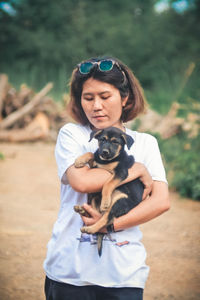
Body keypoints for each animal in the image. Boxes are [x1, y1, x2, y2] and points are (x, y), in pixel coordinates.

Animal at [74, 126, 144, 255]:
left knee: (106, 219)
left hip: (119, 201)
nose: (105, 152)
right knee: (96, 214)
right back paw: (82, 210)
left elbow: (107, 184)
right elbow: (92, 154)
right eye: (102, 139)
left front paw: (105, 202)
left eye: (115, 142)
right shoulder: (95, 167)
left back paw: (90, 228)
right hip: (94, 198)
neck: (106, 161)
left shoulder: (121, 172)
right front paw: (80, 160)